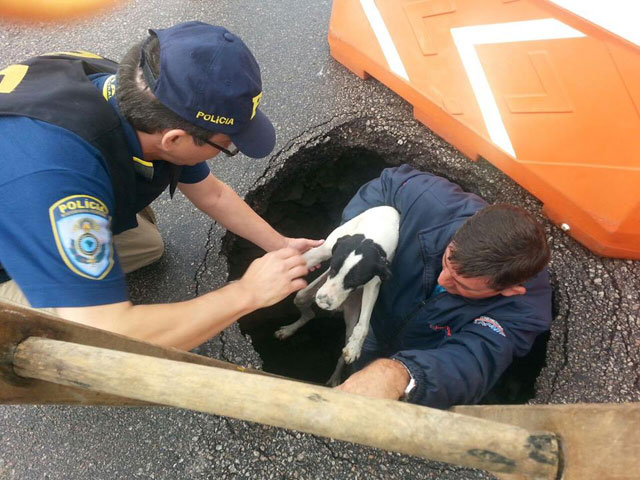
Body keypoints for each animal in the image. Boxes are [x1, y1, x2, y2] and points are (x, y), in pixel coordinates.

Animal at [276, 206, 400, 386]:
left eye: (354, 281)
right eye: (333, 268)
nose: (323, 303)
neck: (373, 233)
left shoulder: (374, 282)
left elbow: (363, 325)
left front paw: (354, 348)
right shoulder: (324, 249)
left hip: (351, 317)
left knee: (342, 352)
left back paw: (335, 378)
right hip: (304, 295)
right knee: (307, 310)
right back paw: (289, 329)